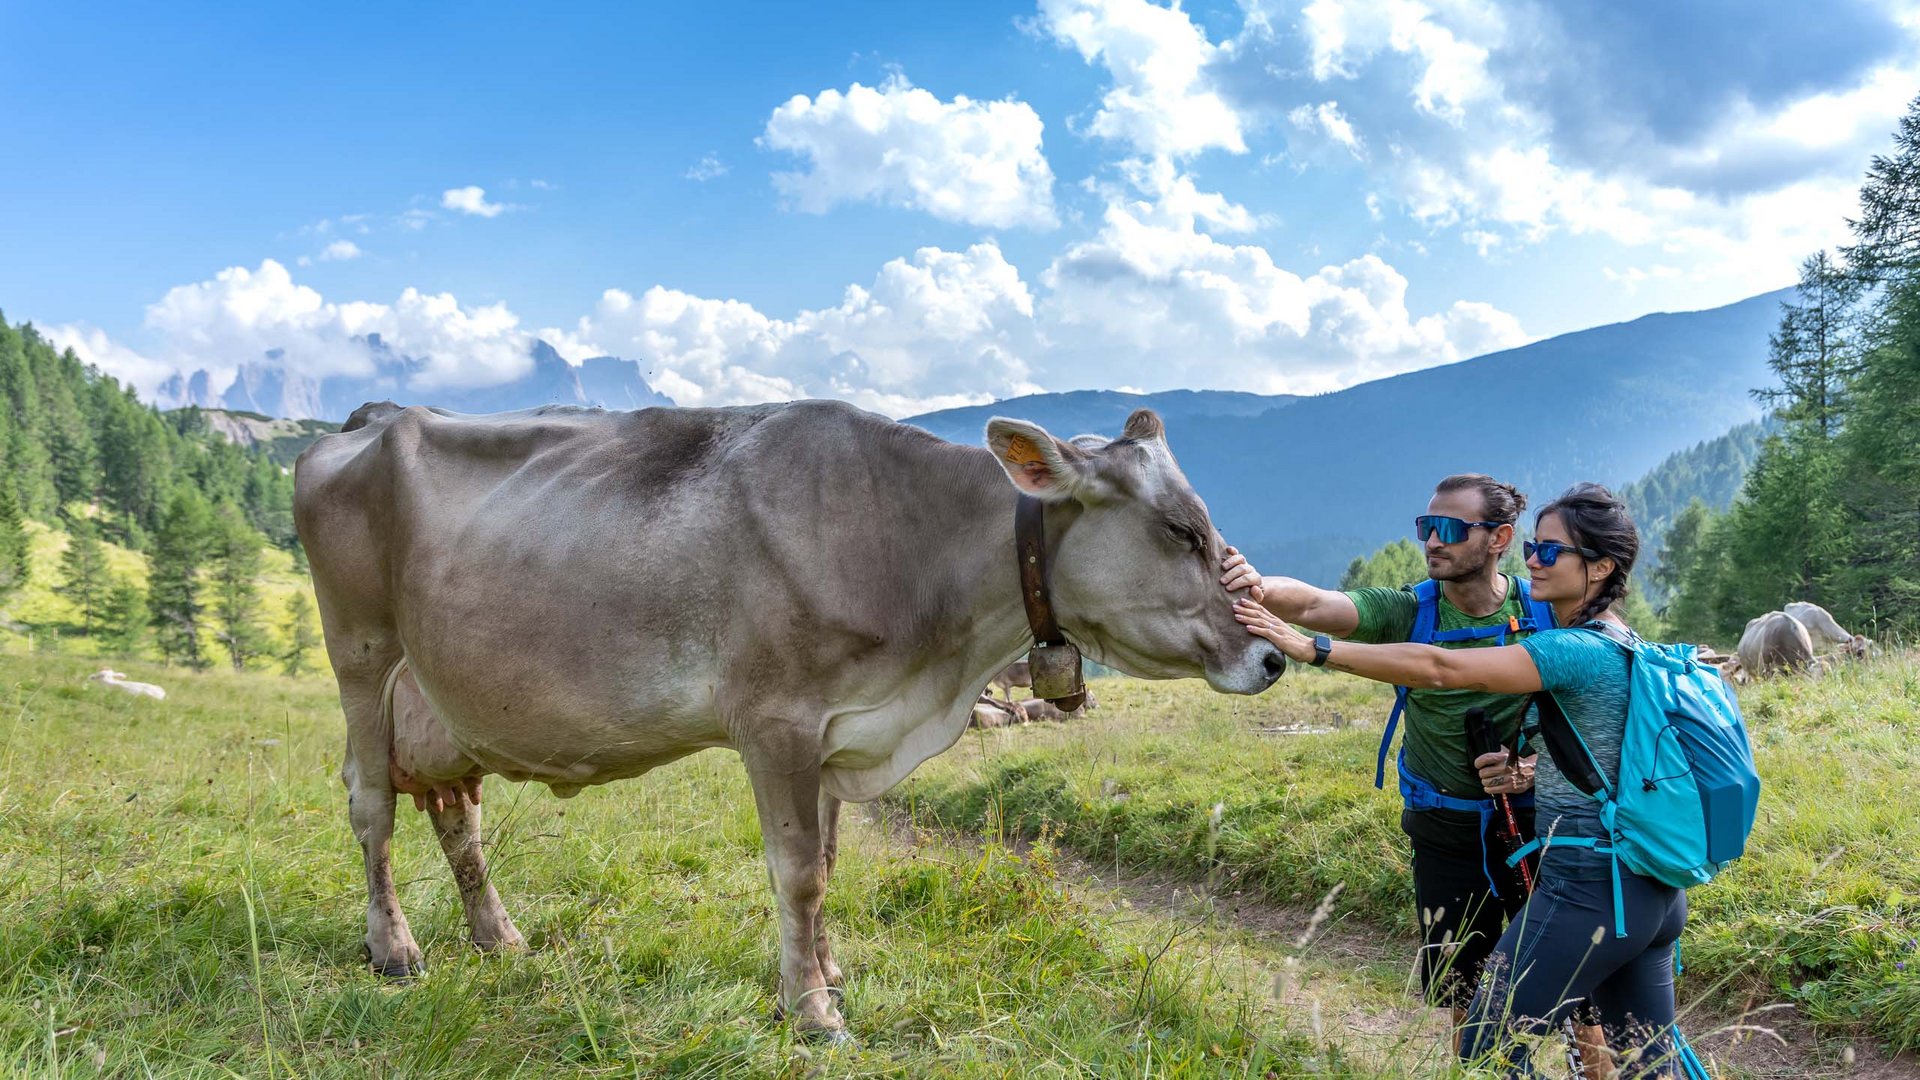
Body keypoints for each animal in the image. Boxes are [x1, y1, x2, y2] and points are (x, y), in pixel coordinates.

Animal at [295, 395, 1274, 1037]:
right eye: (1182, 531)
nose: (1269, 654)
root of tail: (375, 418)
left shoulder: (844, 727)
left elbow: (830, 865)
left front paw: (831, 975)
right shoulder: (776, 723)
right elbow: (798, 872)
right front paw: (810, 1011)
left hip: (442, 706)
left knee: (459, 820)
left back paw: (499, 939)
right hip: (361, 656)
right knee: (369, 805)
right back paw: (394, 949)